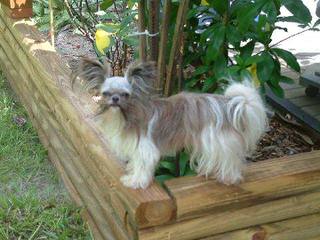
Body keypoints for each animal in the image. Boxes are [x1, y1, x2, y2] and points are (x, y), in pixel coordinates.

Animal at [75, 58, 268, 189]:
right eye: (106, 93)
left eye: (125, 95)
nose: (115, 99)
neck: (127, 115)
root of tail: (228, 104)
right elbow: (136, 163)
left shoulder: (145, 149)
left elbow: (142, 166)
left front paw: (136, 181)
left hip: (220, 142)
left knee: (232, 160)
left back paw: (229, 178)